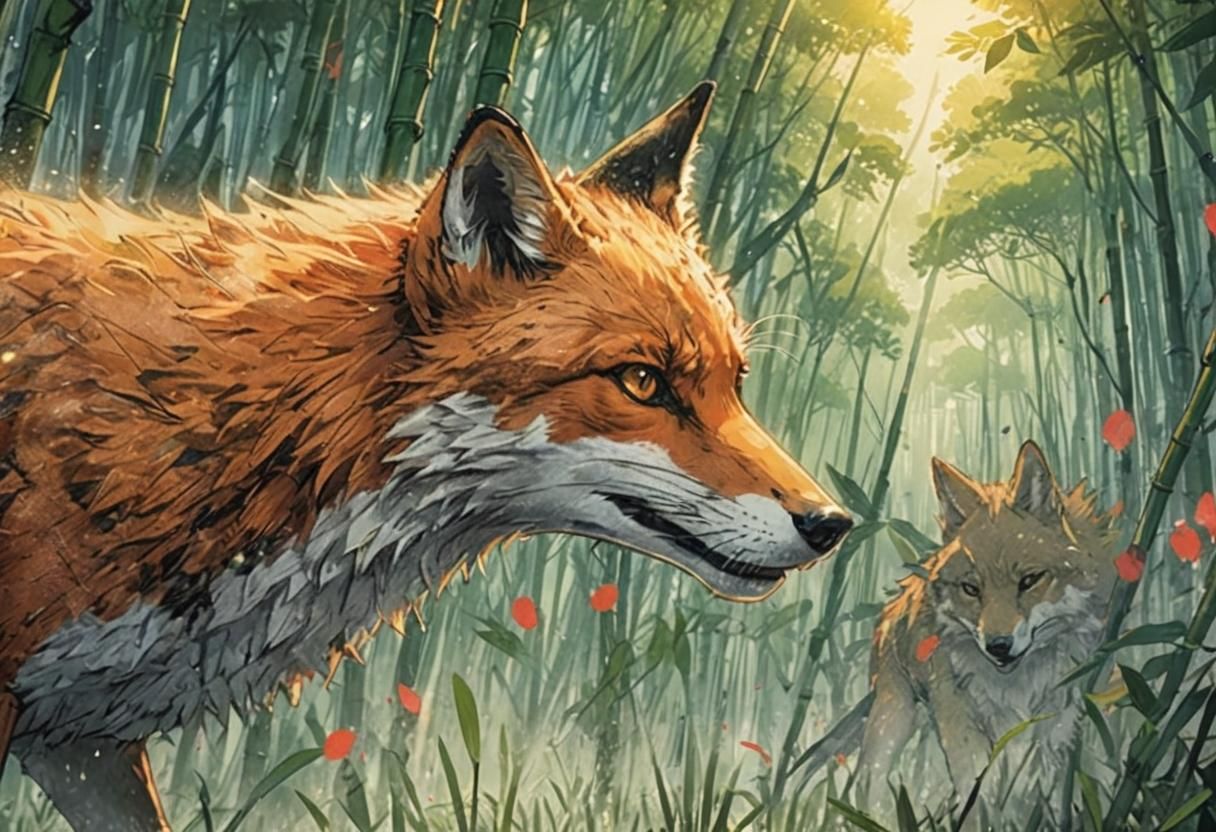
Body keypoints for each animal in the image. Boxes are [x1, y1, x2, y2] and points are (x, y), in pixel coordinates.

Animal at [795, 441, 1117, 813]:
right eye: (971, 589)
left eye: (1029, 581)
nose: (998, 646)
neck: (1016, 685)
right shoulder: (959, 720)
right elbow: (977, 793)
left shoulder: (1064, 718)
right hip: (893, 719)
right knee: (868, 784)